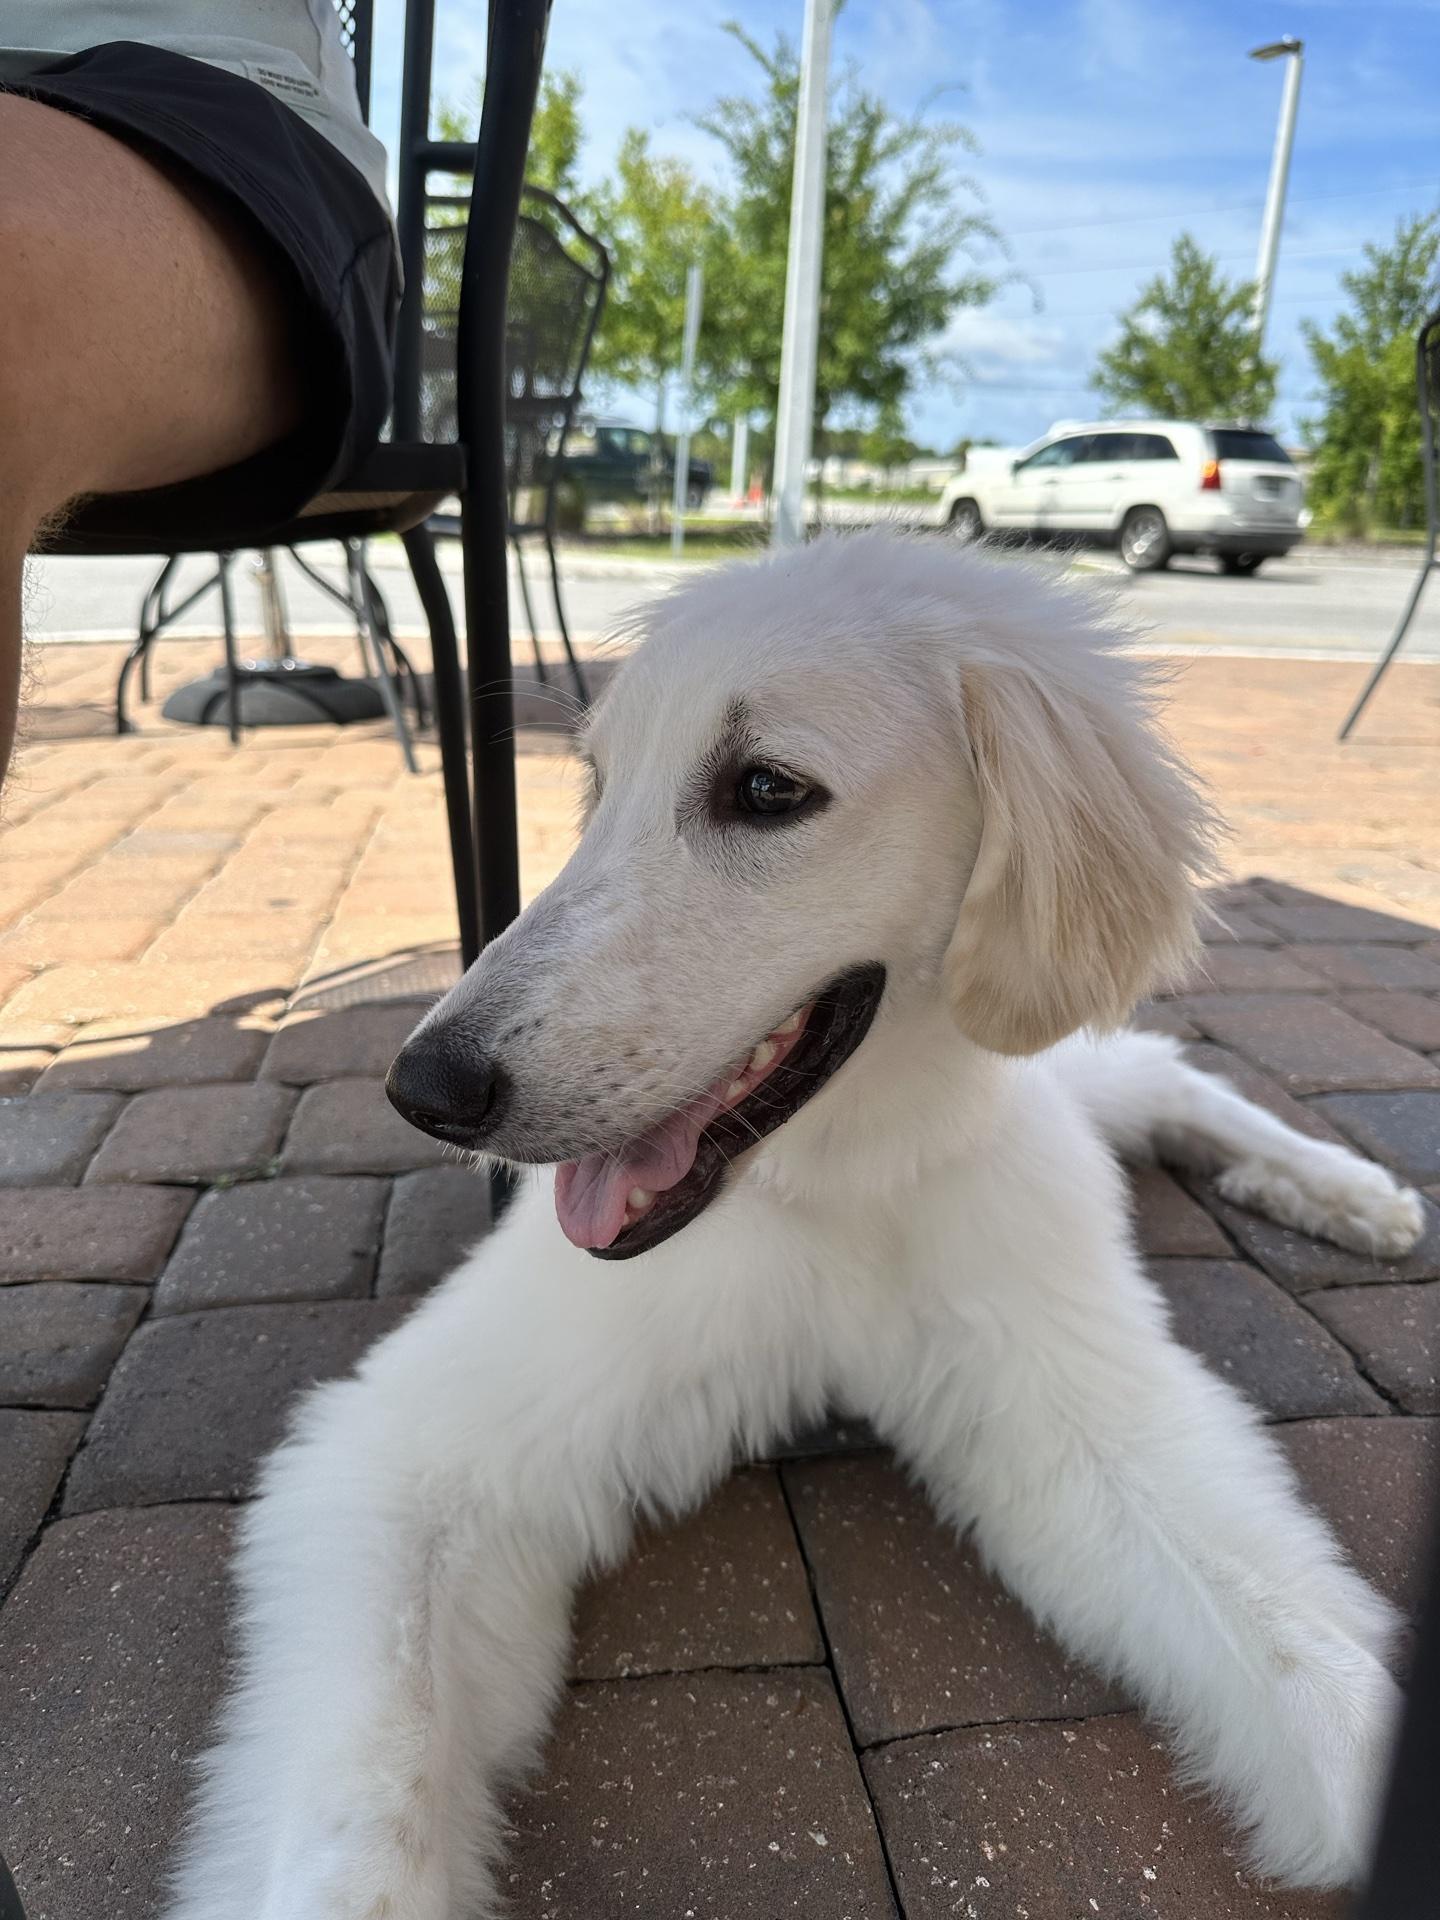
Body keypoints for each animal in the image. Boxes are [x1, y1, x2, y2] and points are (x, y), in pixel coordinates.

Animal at [163, 537, 1428, 1920]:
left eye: (766, 789)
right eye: (598, 785)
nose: (424, 1090)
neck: (835, 1188)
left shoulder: (1086, 1421)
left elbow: (1312, 1665)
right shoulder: (412, 1455)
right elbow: (361, 1823)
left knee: (1160, 1072)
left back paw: (1351, 1192)